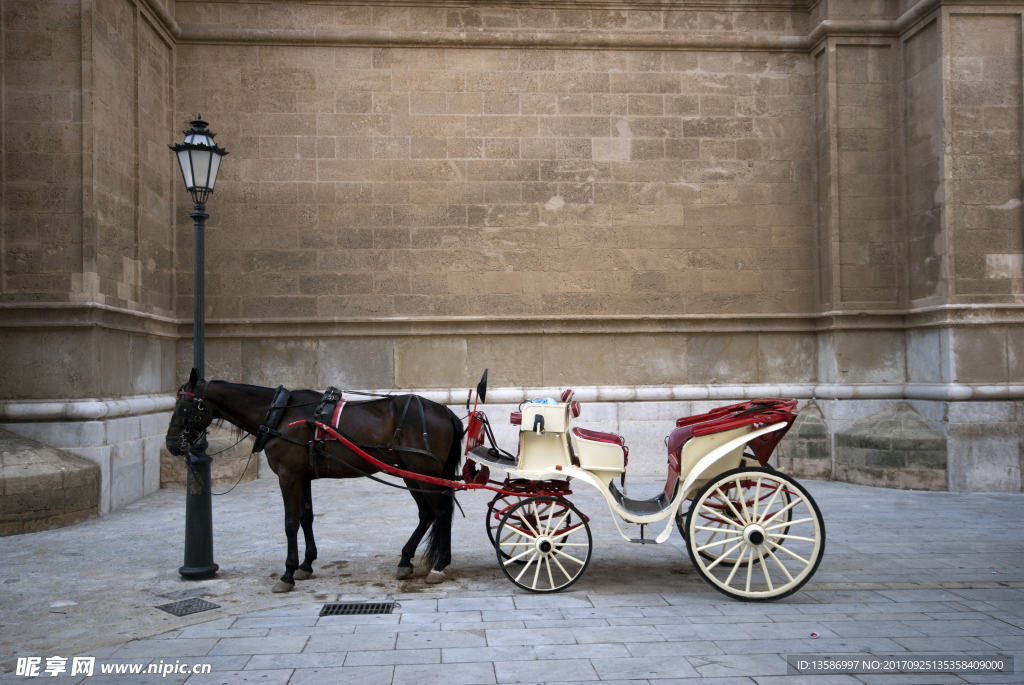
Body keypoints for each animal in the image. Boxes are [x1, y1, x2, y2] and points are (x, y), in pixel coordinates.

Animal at [164, 370, 464, 589]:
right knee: (427, 513)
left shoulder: (288, 476)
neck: (280, 414)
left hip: (425, 473)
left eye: (184, 405)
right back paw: (406, 560)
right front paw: (306, 565)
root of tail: (445, 410)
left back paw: (439, 565)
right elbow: (306, 518)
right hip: (411, 473)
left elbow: (290, 523)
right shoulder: (302, 476)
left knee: (441, 512)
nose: (171, 444)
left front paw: (287, 573)